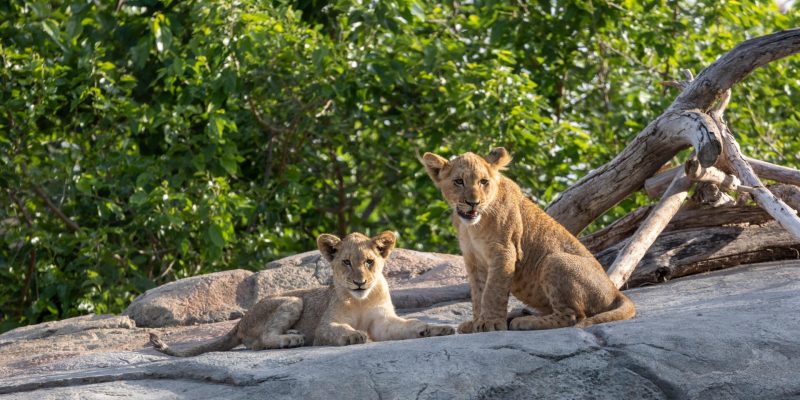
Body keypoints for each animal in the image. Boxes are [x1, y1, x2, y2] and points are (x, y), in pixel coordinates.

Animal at [149, 231, 455, 356]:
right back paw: (292, 339)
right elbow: (340, 330)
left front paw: (436, 329)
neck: (362, 299)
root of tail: (239, 322)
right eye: (346, 262)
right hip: (292, 300)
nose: (359, 282)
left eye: (369, 261)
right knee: (261, 341)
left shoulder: (382, 321)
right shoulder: (325, 325)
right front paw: (354, 335)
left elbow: (410, 324)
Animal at [421, 147, 635, 333]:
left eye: (483, 182)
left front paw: (490, 323)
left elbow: (493, 291)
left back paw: (524, 322)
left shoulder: (505, 251)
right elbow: (478, 293)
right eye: (459, 181)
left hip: (556, 260)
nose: (473, 203)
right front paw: (476, 323)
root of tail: (615, 291)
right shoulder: (473, 259)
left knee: (573, 316)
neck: (472, 226)